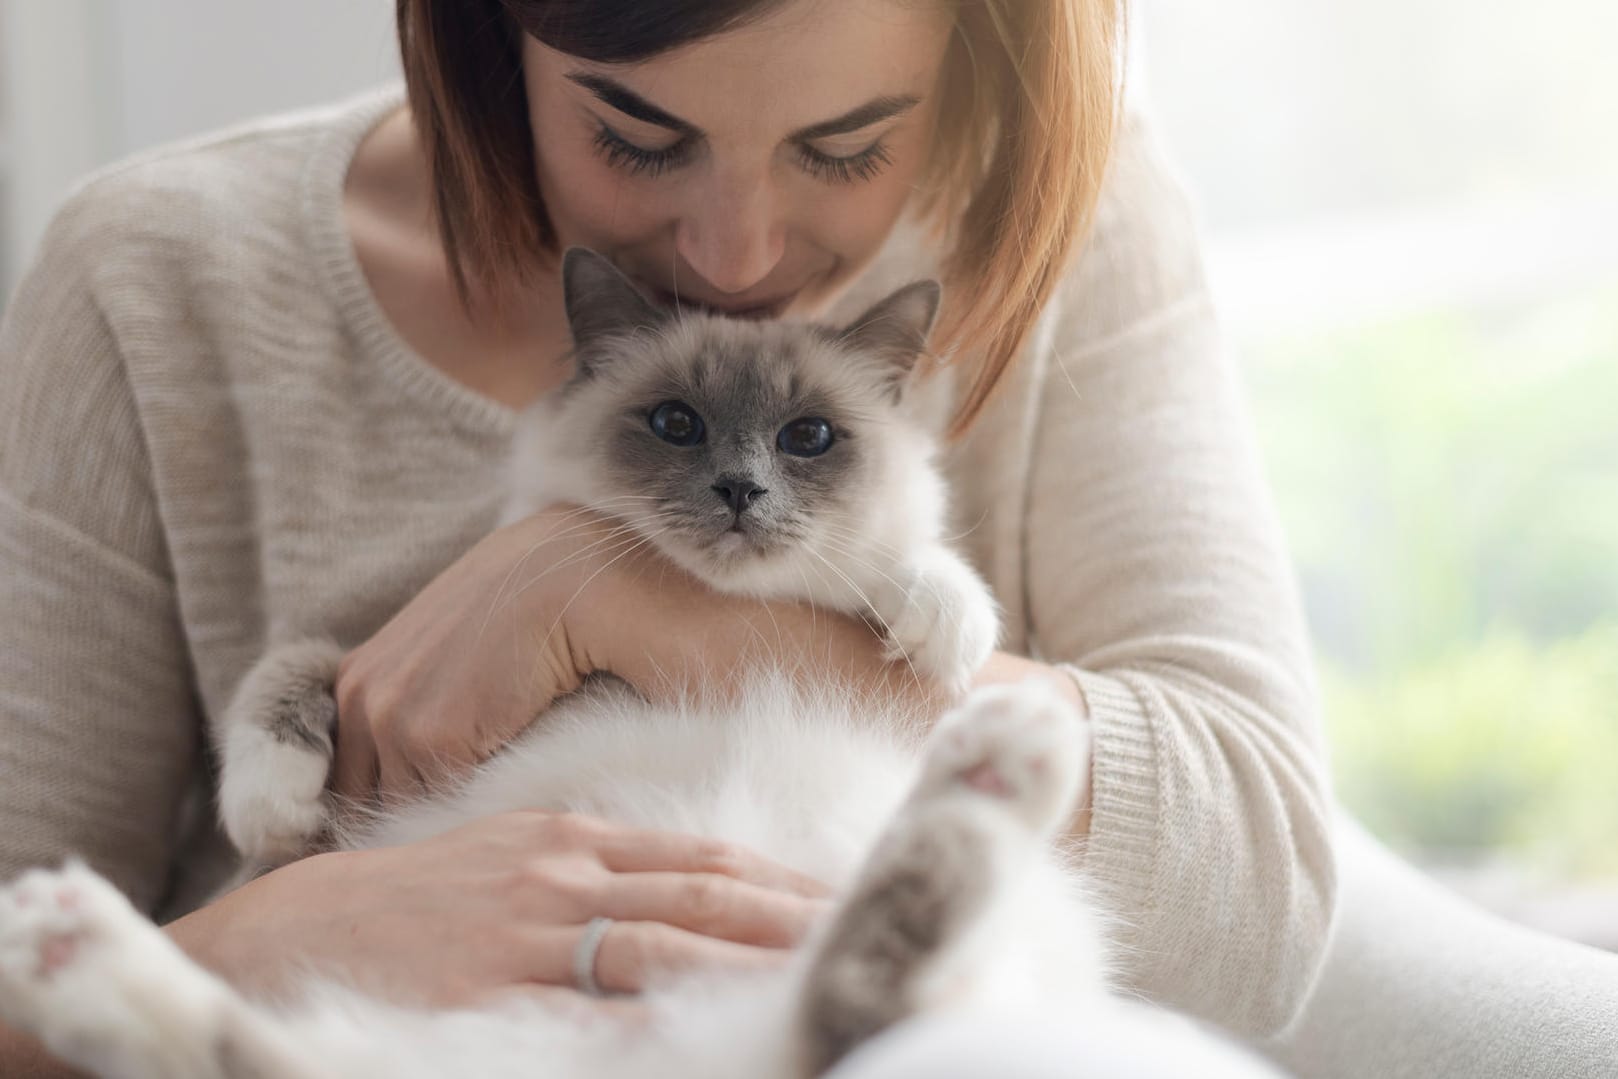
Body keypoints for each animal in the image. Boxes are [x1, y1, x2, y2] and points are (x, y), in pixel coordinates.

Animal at [0, 247, 1287, 1079]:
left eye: (808, 437)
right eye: (675, 423)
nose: (740, 491)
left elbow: (922, 574)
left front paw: (940, 621)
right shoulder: (364, 670)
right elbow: (285, 674)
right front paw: (271, 796)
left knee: (862, 995)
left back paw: (999, 762)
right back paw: (70, 950)